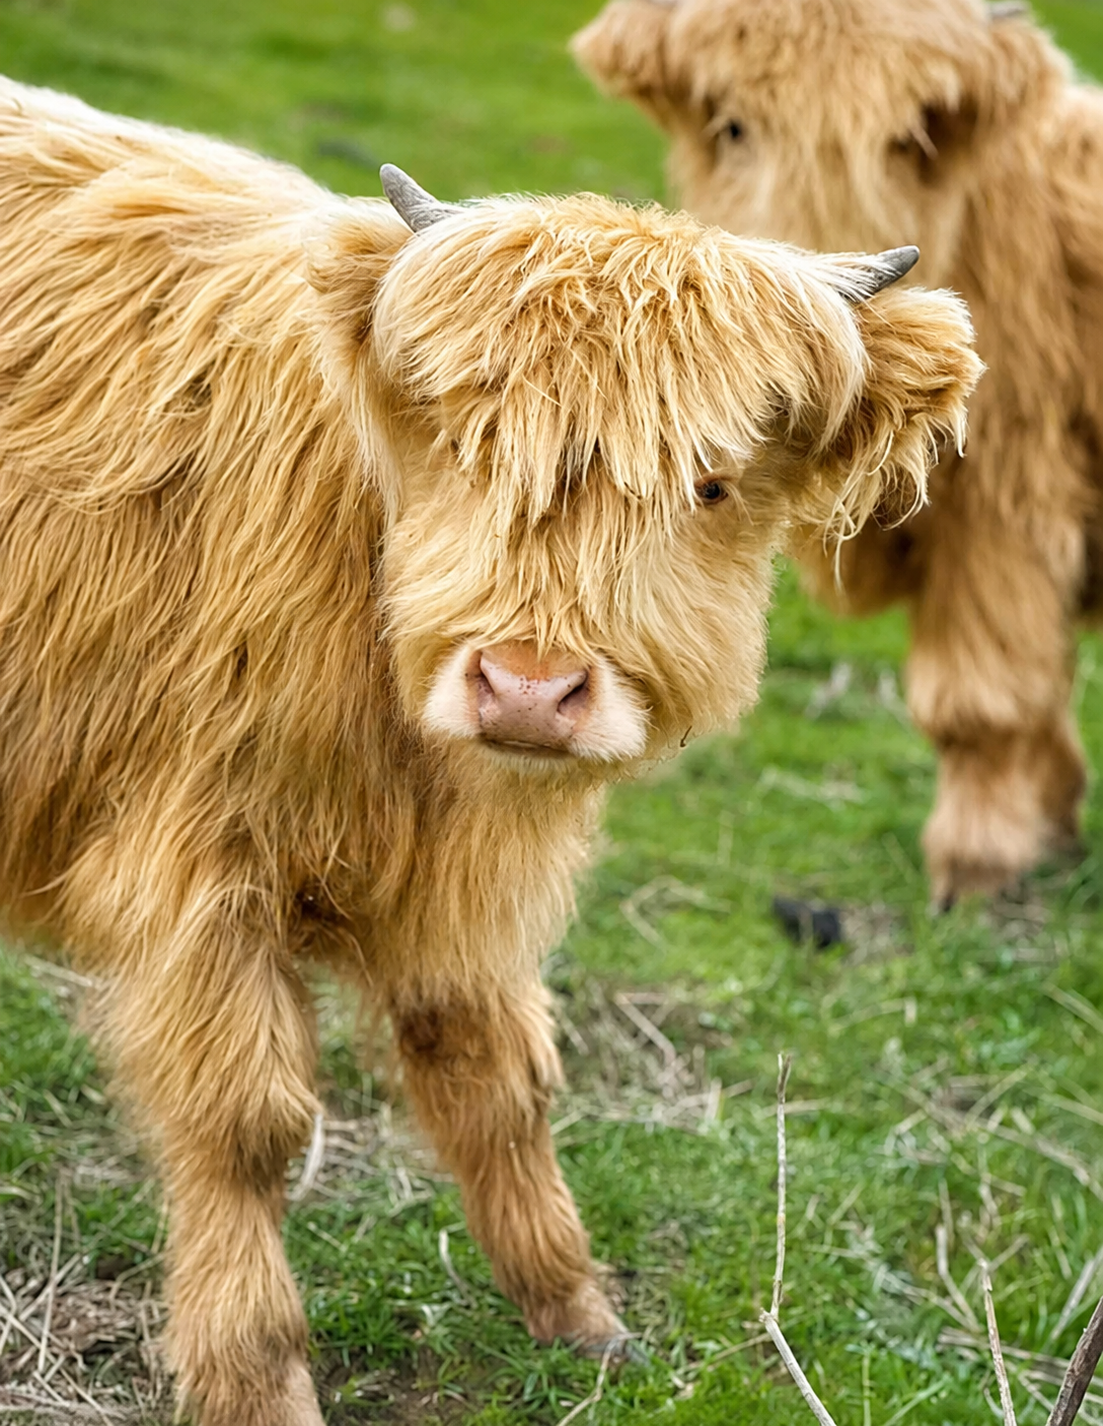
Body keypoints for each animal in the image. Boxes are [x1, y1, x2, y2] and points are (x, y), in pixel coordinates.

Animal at [0, 77, 979, 1424]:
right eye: (471, 445)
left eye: (710, 484)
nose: (525, 688)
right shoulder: (194, 864)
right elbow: (247, 1126)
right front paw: (259, 1378)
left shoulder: (461, 891)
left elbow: (499, 1085)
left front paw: (579, 1316)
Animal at [572, 0, 1103, 907]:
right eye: (733, 124)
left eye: (905, 139)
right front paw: (1056, 820)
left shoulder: (1005, 510)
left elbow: (981, 698)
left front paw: (978, 864)